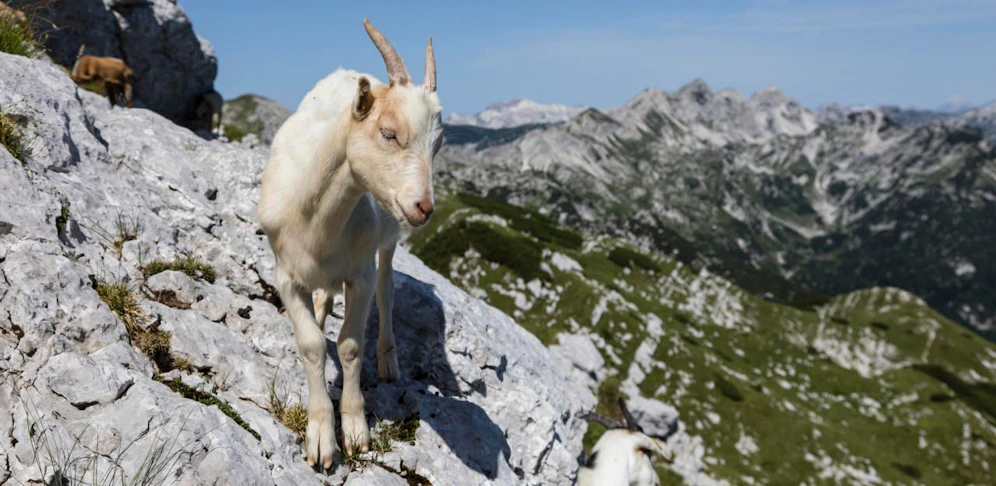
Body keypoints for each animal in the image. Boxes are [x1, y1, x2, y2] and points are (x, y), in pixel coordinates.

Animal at [257, 19, 440, 469]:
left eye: (439, 144)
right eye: (389, 133)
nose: (424, 208)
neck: (315, 217)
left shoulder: (360, 272)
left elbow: (351, 346)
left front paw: (354, 430)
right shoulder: (286, 274)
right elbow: (310, 346)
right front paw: (321, 436)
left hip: (387, 241)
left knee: (387, 290)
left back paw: (389, 360)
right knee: (325, 296)